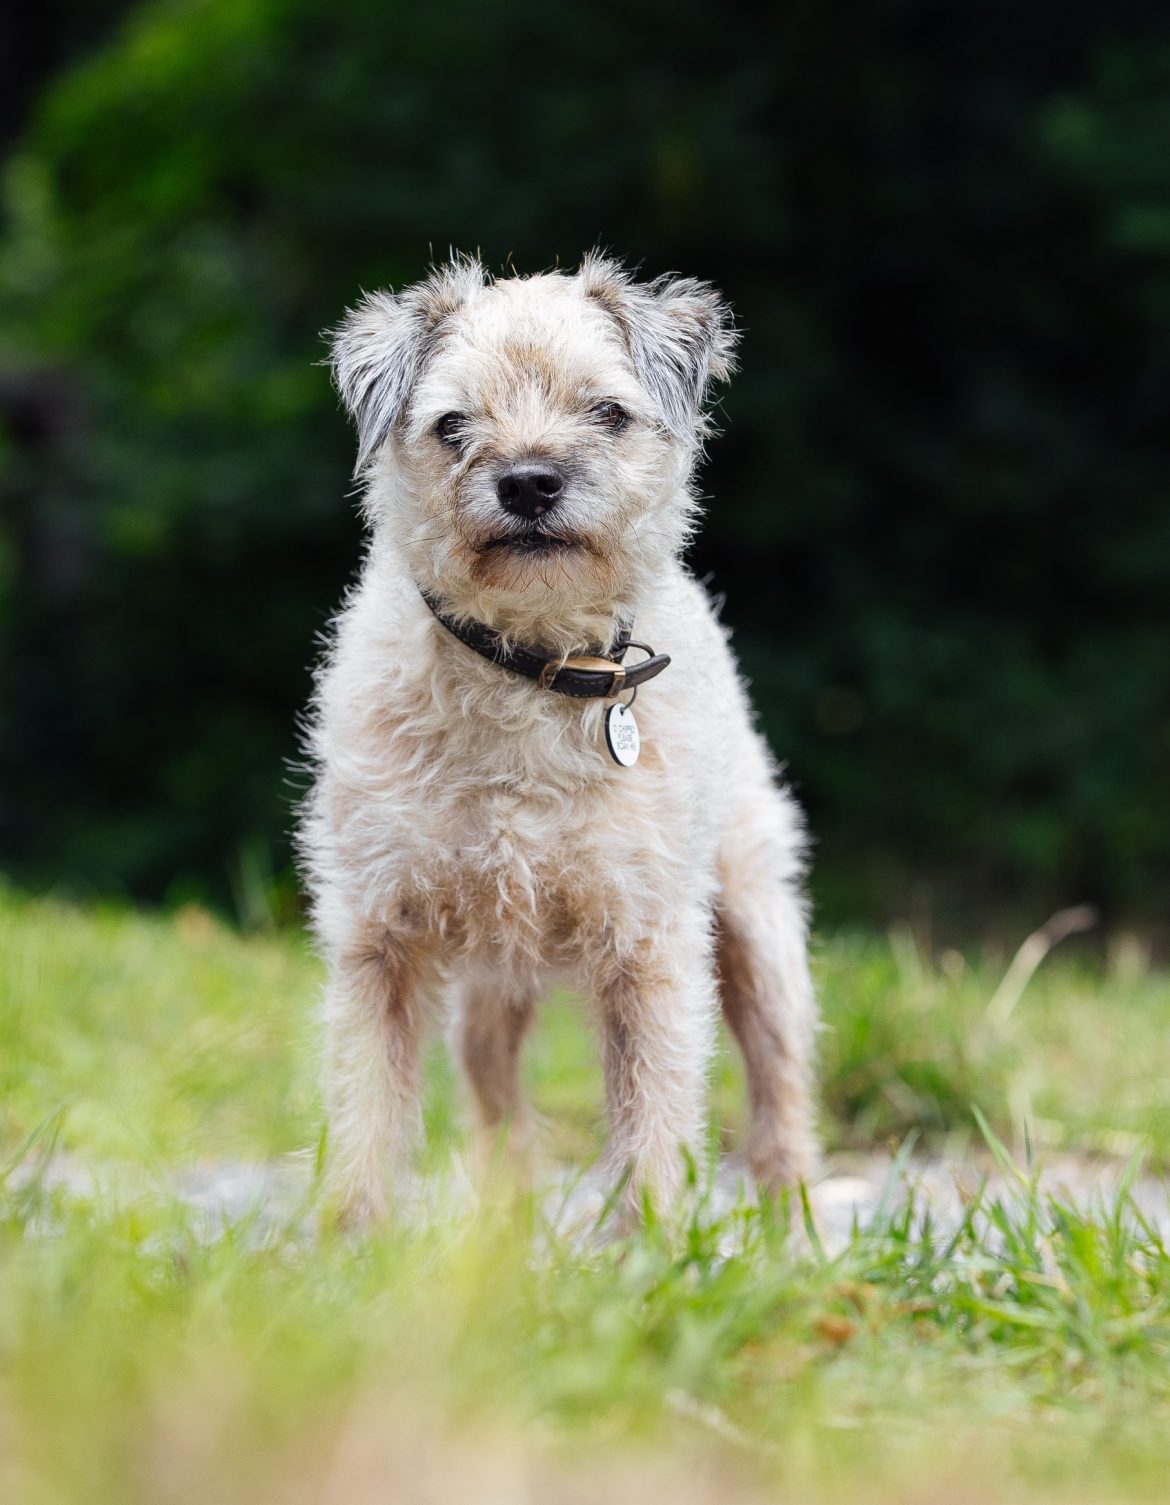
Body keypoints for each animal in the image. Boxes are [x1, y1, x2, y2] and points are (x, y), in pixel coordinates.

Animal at [296, 252, 819, 1228]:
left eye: (607, 412)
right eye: (453, 424)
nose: (530, 481)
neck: (530, 667)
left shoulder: (651, 945)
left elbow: (652, 1106)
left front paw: (652, 1245)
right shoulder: (379, 935)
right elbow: (367, 1096)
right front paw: (353, 1238)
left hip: (756, 926)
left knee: (781, 1075)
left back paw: (793, 1218)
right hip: (489, 988)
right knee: (494, 1090)